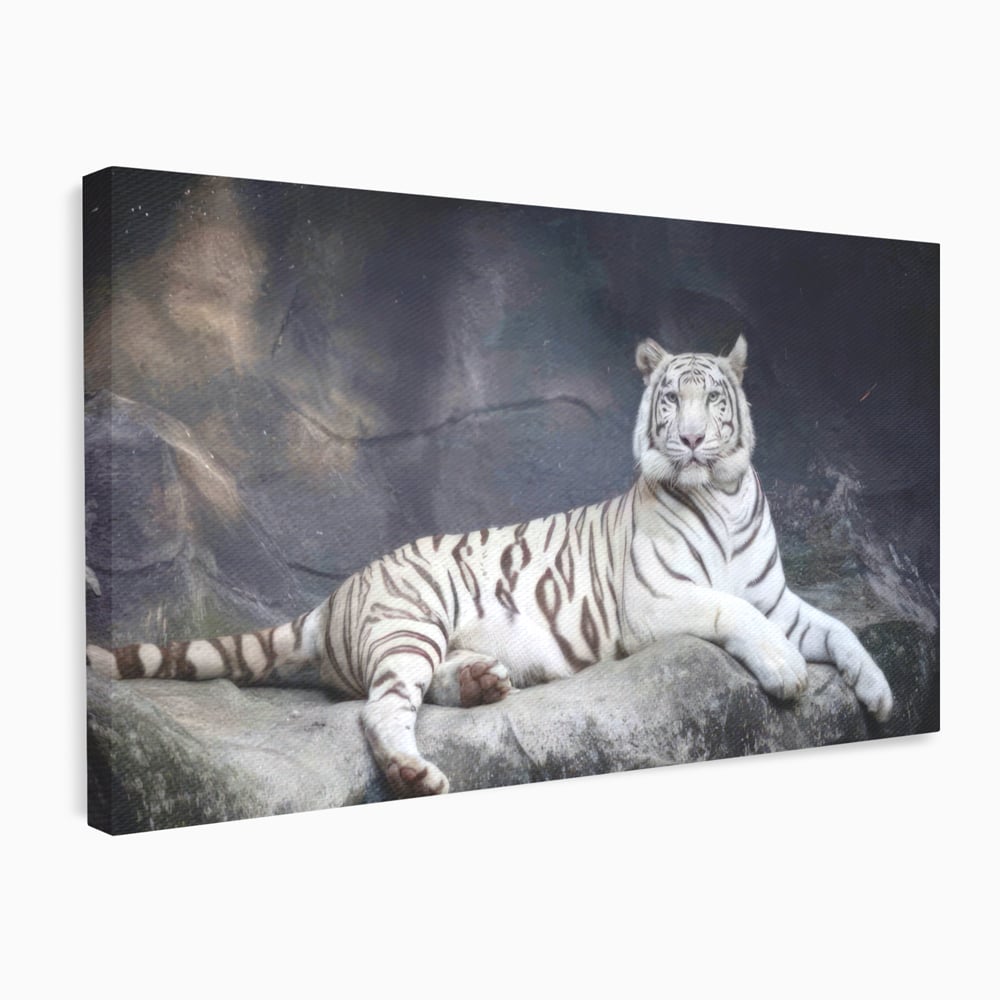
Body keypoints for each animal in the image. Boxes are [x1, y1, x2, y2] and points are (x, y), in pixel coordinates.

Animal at [87, 335, 894, 798]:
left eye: (713, 401)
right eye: (671, 399)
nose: (693, 440)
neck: (720, 494)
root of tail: (335, 596)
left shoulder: (777, 594)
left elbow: (838, 629)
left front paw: (881, 695)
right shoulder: (657, 600)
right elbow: (737, 612)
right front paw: (787, 671)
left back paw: (481, 683)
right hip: (410, 622)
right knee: (382, 707)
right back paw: (415, 772)